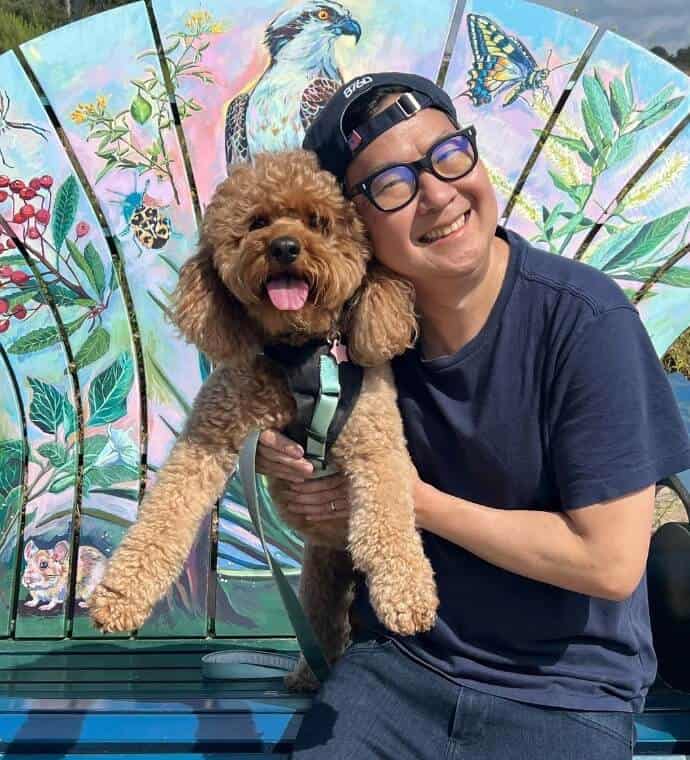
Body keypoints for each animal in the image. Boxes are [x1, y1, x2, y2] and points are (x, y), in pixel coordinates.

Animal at [87, 150, 436, 688]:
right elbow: (163, 515)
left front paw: (409, 596)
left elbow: (390, 522)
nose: (285, 247)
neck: (302, 354)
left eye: (319, 222)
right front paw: (119, 596)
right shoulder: (208, 437)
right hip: (322, 569)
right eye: (257, 222)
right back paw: (307, 673)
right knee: (321, 618)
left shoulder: (376, 446)